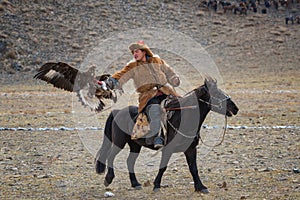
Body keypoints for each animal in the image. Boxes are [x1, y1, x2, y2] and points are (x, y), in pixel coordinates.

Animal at [95, 78, 238, 194]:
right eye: (216, 93)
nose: (235, 108)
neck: (183, 119)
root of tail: (117, 112)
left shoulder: (191, 149)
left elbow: (193, 169)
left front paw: (201, 187)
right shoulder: (168, 149)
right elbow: (163, 167)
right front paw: (156, 185)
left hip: (135, 145)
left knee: (129, 161)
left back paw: (135, 184)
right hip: (119, 142)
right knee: (111, 157)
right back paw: (108, 179)